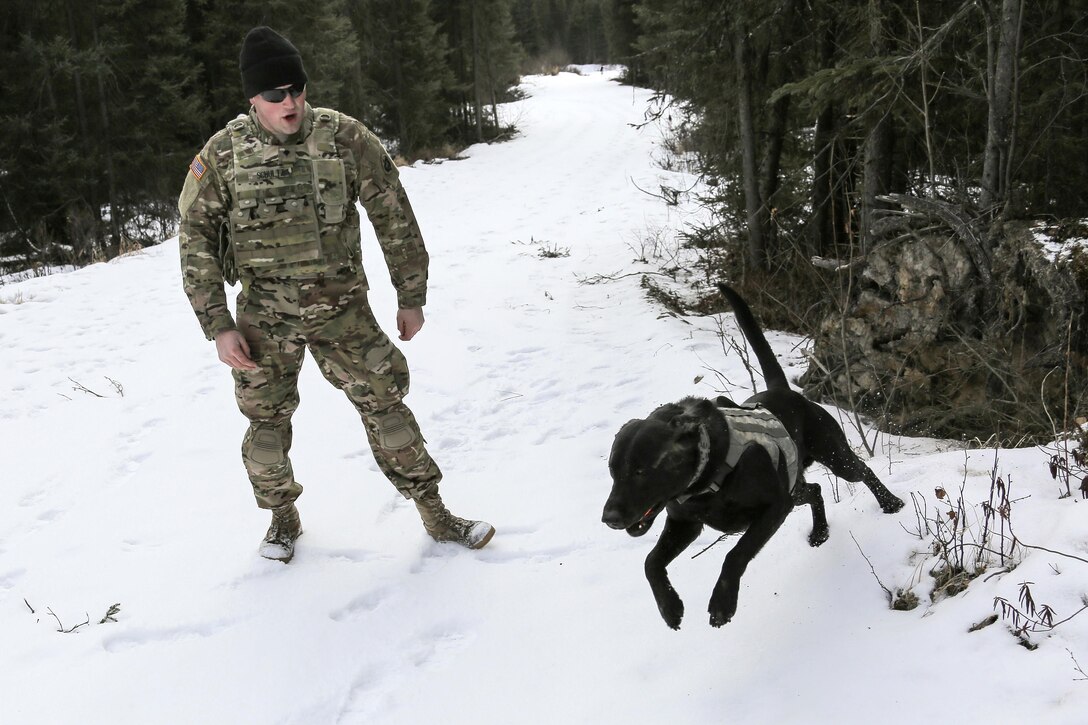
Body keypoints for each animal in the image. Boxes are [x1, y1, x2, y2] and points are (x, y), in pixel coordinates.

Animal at [604, 283, 900, 627]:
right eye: (613, 472)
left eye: (642, 471)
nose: (608, 518)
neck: (708, 476)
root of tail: (784, 391)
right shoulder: (685, 523)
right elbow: (651, 562)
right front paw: (670, 607)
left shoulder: (774, 507)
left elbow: (735, 554)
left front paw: (722, 604)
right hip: (795, 485)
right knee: (814, 489)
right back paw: (820, 532)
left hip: (833, 456)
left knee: (862, 470)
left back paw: (890, 503)